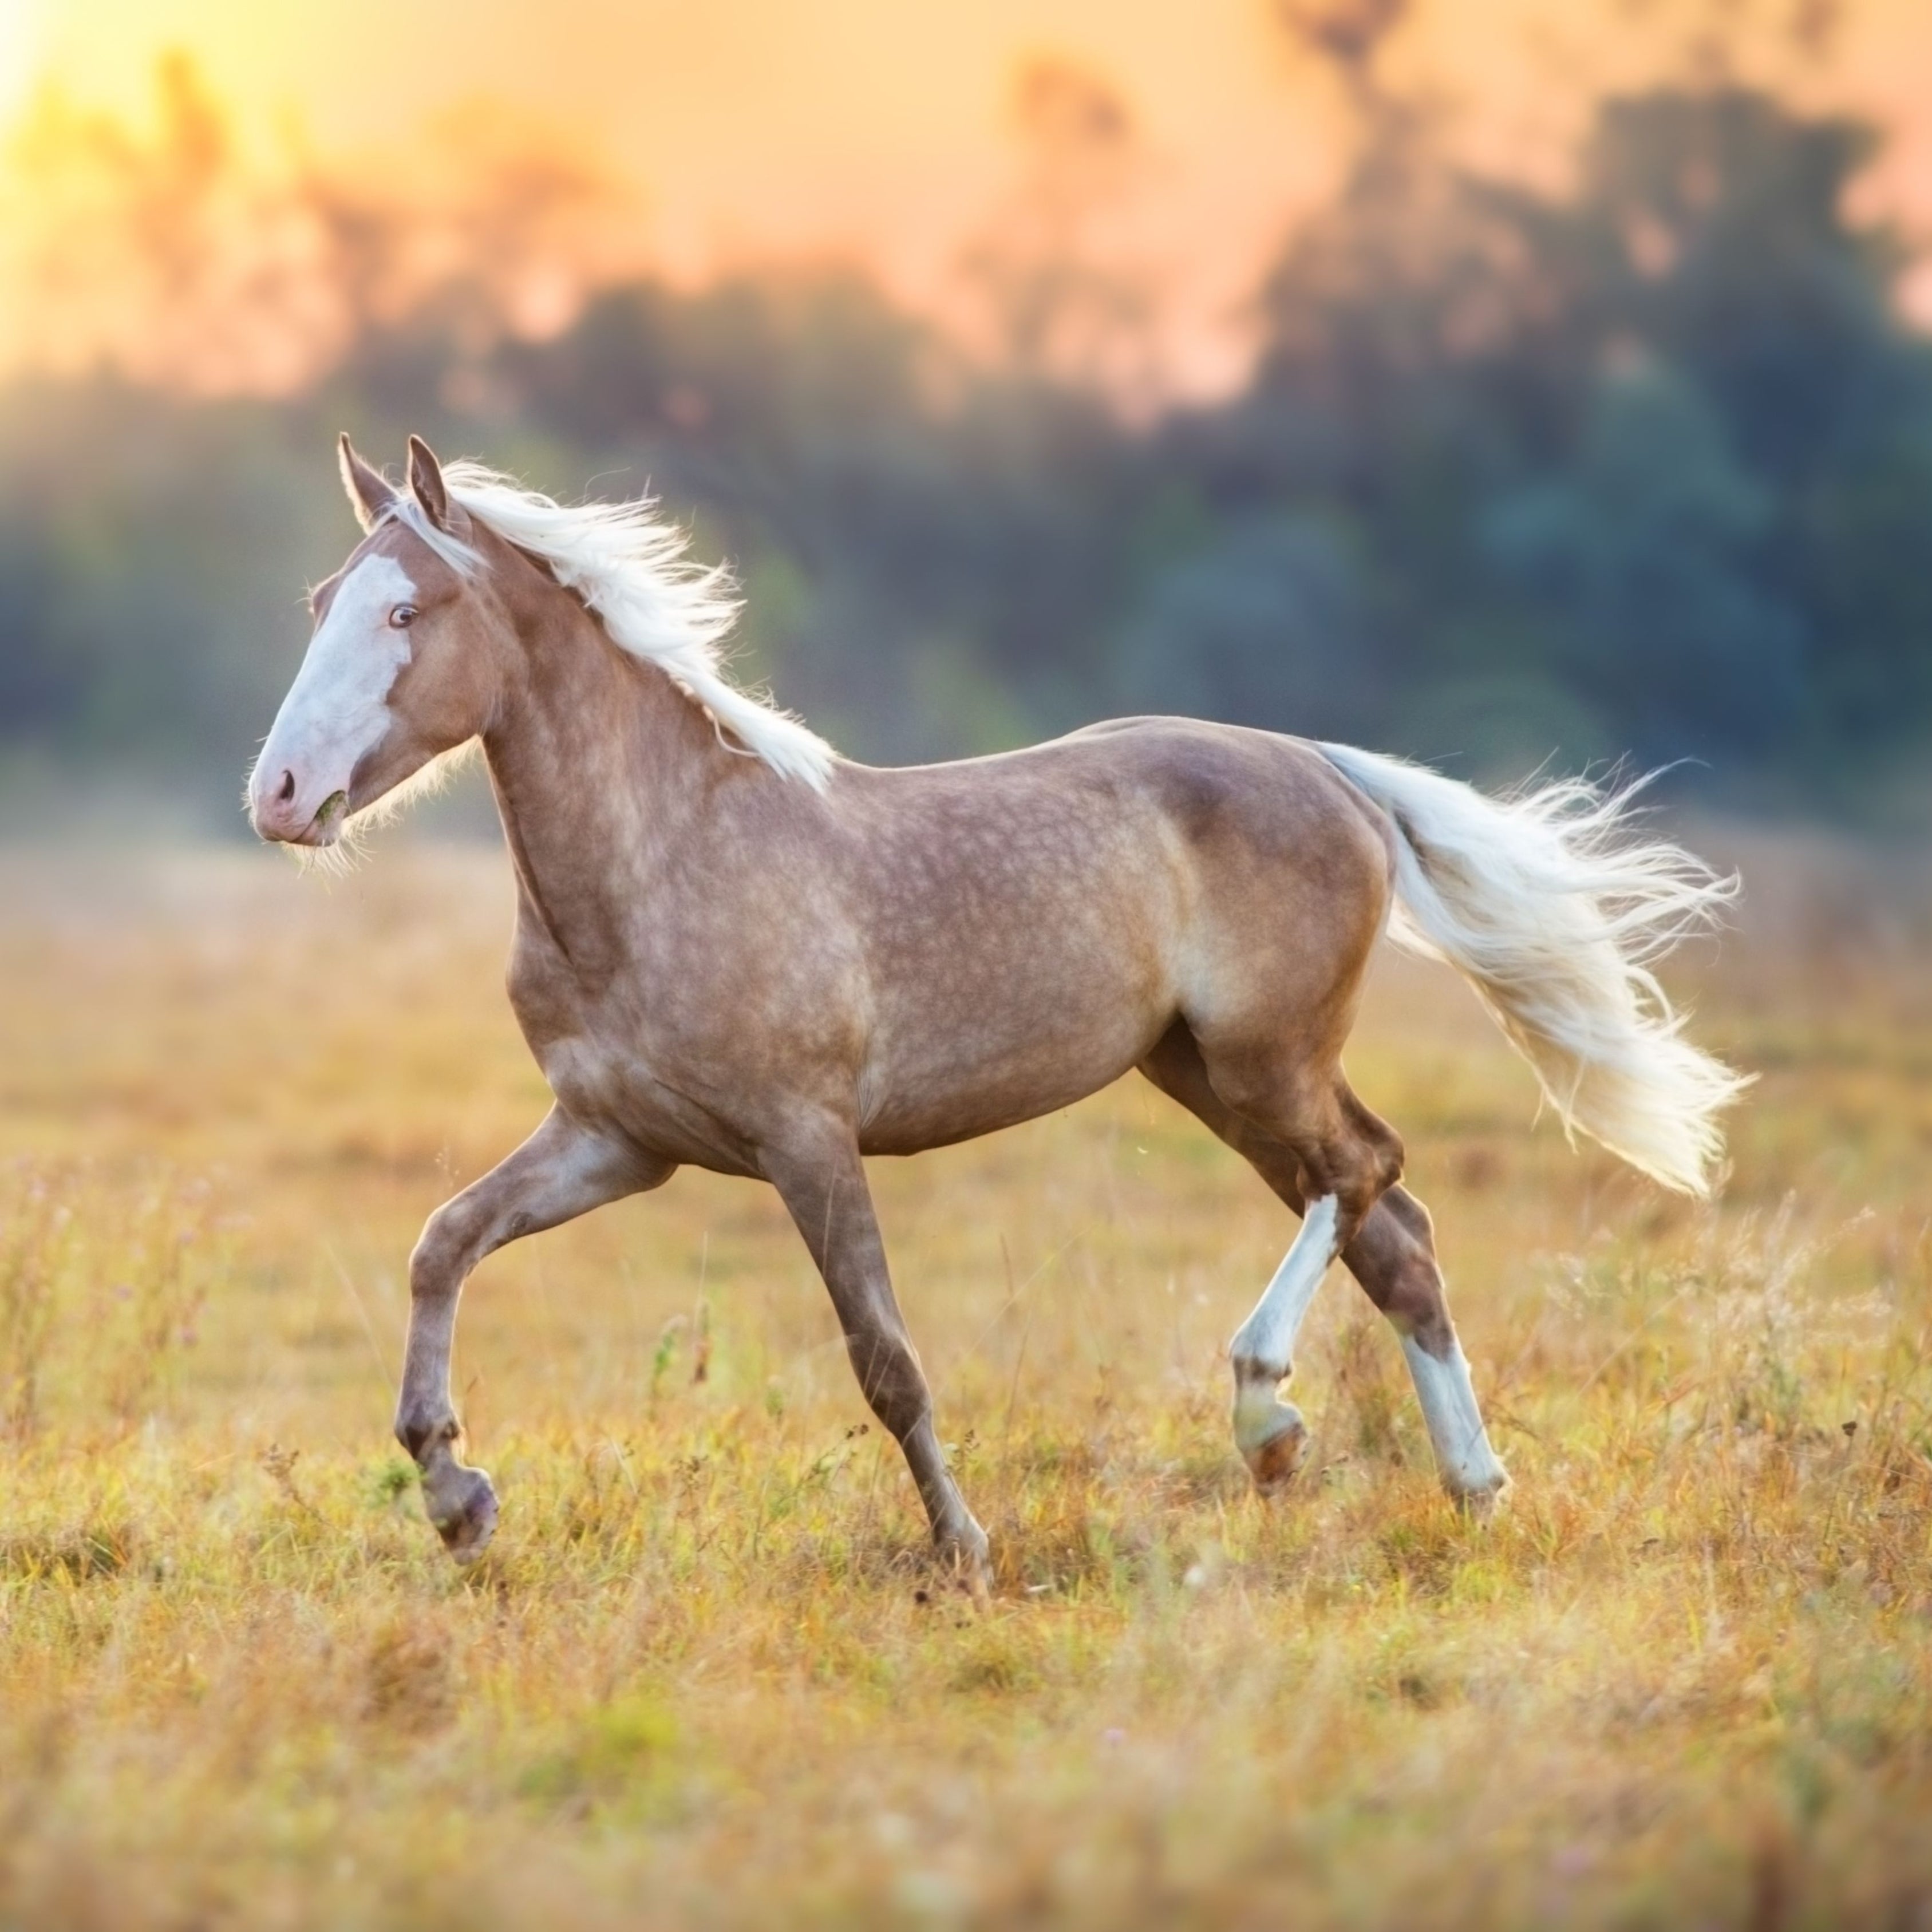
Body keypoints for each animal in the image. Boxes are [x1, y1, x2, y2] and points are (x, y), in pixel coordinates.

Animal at [248, 434, 1747, 1586]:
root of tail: (1328, 768)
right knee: (1401, 1237)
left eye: (405, 615)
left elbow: (886, 1359)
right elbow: (442, 1245)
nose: (279, 796)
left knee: (1368, 1173)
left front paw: (963, 1549)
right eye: (318, 598)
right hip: (1204, 1076)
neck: (660, 859)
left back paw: (1267, 1413)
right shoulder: (619, 1141)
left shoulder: (805, 1140)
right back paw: (1469, 1487)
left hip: (1263, 1062)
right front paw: (457, 1498)